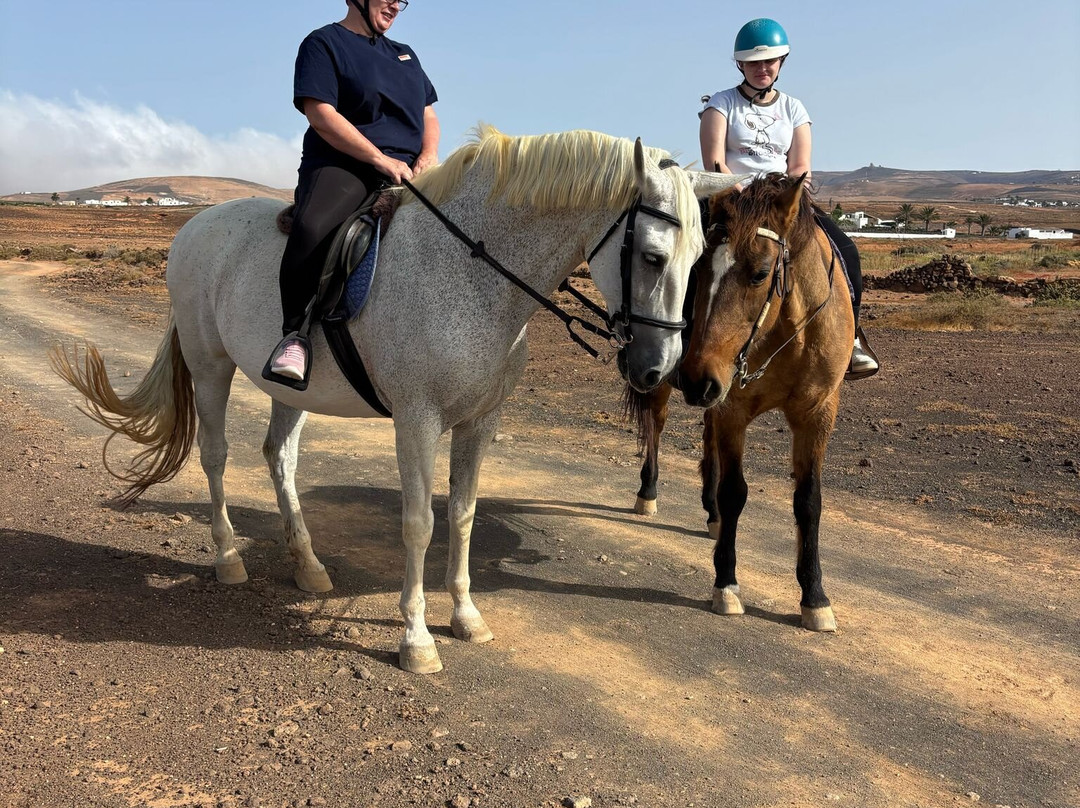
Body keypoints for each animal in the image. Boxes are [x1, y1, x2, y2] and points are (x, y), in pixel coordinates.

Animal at [50, 125, 741, 674]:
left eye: (699, 258)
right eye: (651, 256)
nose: (658, 369)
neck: (473, 271)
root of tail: (194, 225)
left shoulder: (480, 423)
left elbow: (462, 516)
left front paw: (465, 616)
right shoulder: (417, 420)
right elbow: (419, 523)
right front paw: (416, 640)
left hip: (285, 388)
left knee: (279, 458)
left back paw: (307, 566)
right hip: (210, 366)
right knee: (217, 456)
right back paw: (227, 559)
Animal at [625, 173, 853, 632]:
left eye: (761, 273)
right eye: (698, 269)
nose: (697, 377)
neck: (788, 335)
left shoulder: (817, 413)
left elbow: (809, 501)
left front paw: (815, 597)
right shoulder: (734, 410)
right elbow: (735, 492)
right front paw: (727, 585)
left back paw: (712, 516)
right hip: (662, 379)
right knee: (656, 425)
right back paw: (649, 492)